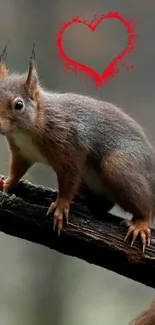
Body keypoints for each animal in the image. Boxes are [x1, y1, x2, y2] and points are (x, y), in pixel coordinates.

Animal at [0, 42, 154, 251]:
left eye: (19, 105)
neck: (28, 130)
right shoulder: (21, 153)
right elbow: (17, 171)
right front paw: (6, 183)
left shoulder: (70, 146)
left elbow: (69, 179)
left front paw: (61, 205)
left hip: (119, 166)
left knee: (146, 206)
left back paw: (140, 224)